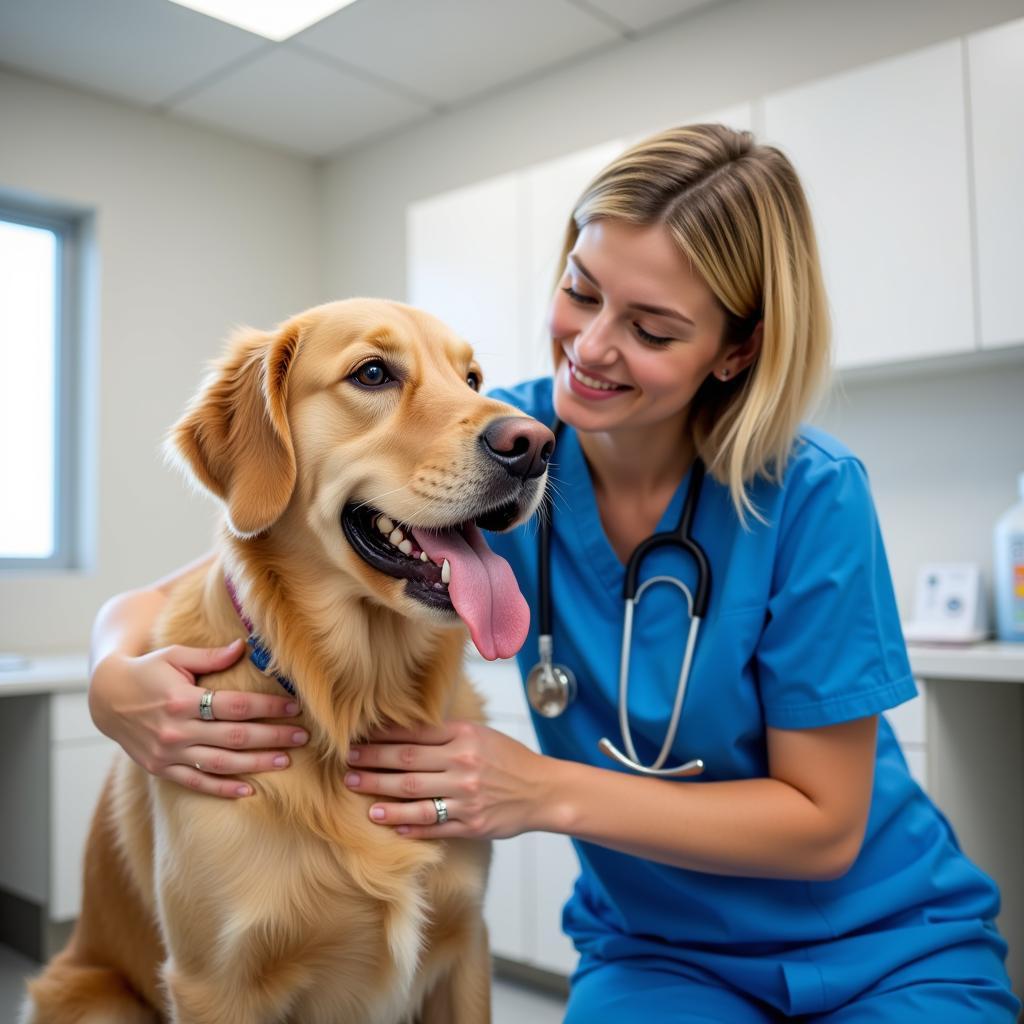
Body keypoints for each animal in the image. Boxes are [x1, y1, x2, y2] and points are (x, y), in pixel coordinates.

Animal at [22, 299, 552, 1024]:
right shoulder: (212, 983)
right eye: (373, 373)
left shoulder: (466, 945)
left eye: (472, 379)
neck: (353, 696)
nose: (537, 444)